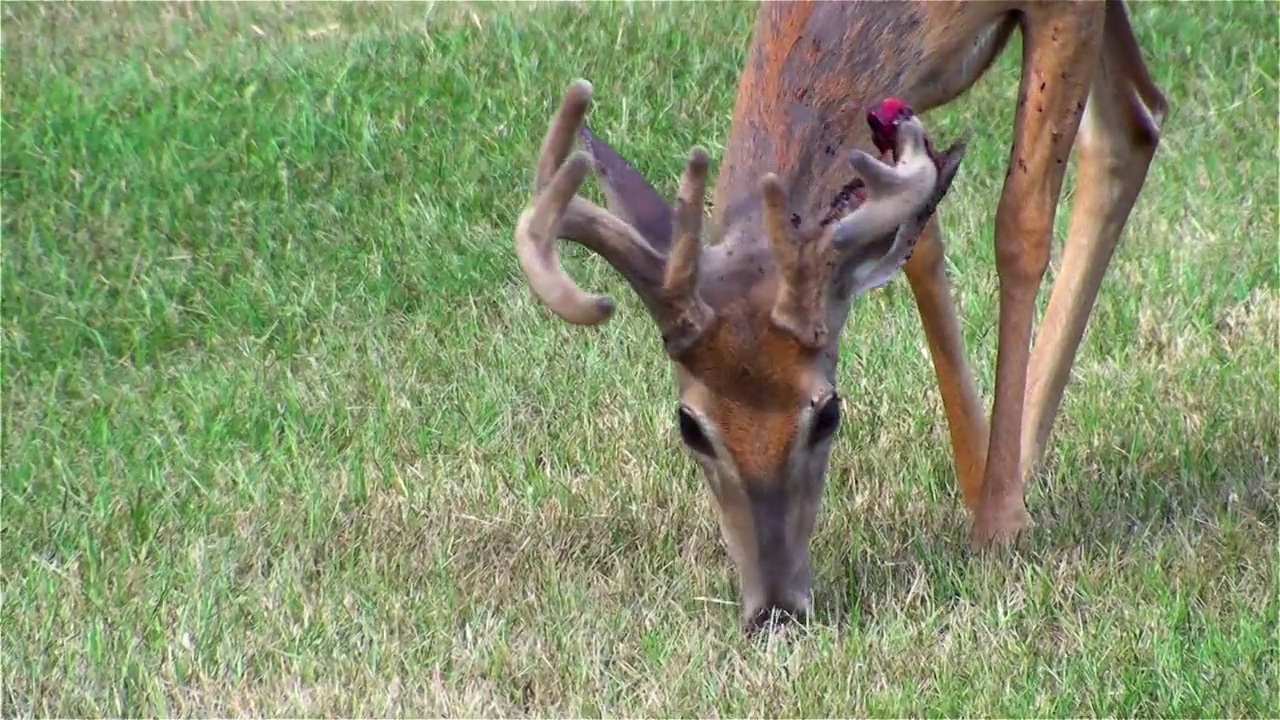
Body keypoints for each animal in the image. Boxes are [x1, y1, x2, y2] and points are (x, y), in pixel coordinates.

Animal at [509, 0, 1172, 627]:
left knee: (1120, 130)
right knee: (1136, 121)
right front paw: (981, 475)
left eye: (828, 414)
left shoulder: (1066, 9)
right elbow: (918, 241)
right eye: (689, 425)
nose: (775, 611)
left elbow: (1020, 225)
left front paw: (1001, 523)